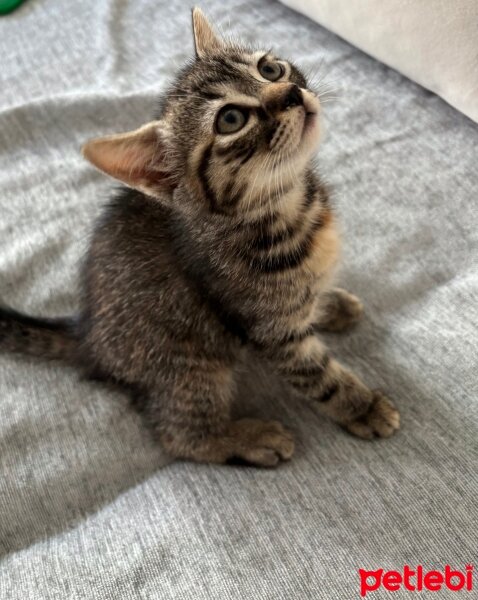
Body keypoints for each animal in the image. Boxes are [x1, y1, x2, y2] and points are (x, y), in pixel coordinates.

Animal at [0, 10, 400, 468]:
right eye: (231, 120)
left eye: (269, 69)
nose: (292, 92)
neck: (293, 207)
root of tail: (88, 337)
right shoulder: (270, 332)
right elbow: (319, 376)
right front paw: (362, 406)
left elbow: (310, 298)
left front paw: (329, 304)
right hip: (189, 366)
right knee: (180, 437)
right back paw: (247, 437)